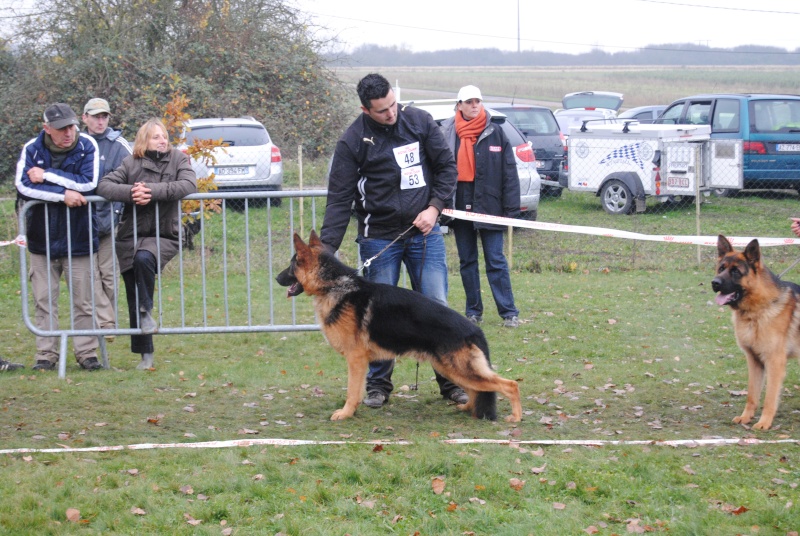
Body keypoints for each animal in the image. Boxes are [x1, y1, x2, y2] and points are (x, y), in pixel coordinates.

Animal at [276, 230, 524, 422]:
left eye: (291, 266)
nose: (277, 279)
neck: (334, 285)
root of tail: (475, 330)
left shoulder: (355, 359)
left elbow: (352, 391)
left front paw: (346, 413)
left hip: (459, 369)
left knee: (510, 384)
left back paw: (515, 416)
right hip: (451, 368)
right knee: (477, 389)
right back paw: (467, 407)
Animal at [712, 236, 800, 432]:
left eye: (736, 271)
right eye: (721, 268)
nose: (715, 283)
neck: (758, 309)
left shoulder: (774, 362)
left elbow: (769, 397)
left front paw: (764, 422)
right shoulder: (754, 360)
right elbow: (752, 394)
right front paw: (746, 417)